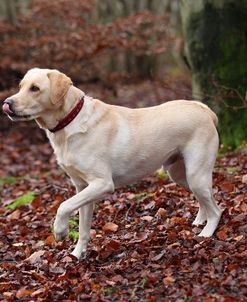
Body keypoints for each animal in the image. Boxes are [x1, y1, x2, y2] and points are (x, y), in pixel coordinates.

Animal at [1, 69, 222, 260]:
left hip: (195, 175)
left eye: (35, 88)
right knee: (207, 200)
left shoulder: (102, 184)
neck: (69, 121)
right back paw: (199, 220)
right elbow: (83, 228)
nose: (6, 103)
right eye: (20, 86)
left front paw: (60, 231)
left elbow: (63, 206)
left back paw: (206, 234)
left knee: (217, 209)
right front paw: (77, 255)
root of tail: (205, 110)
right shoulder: (82, 188)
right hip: (180, 174)